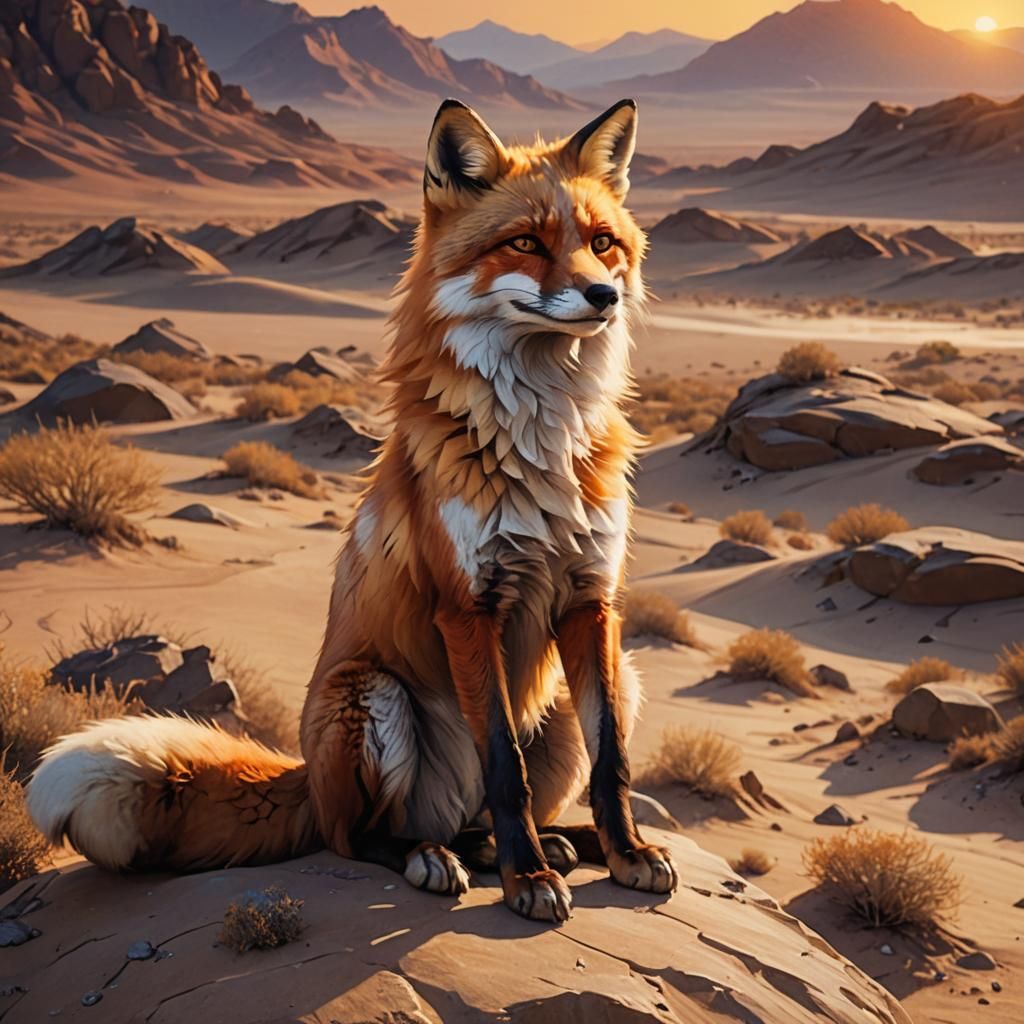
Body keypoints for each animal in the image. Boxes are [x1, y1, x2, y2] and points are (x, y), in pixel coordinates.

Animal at [27, 97, 678, 923]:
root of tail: (307, 775)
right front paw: (528, 880)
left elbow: (612, 763)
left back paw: (550, 844)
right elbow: (506, 769)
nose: (604, 297)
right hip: (371, 697)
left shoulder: (592, 601)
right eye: (526, 243)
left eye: (602, 244)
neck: (543, 441)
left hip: (580, 690)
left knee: (493, 813)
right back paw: (446, 857)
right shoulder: (467, 605)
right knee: (361, 836)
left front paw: (625, 854)